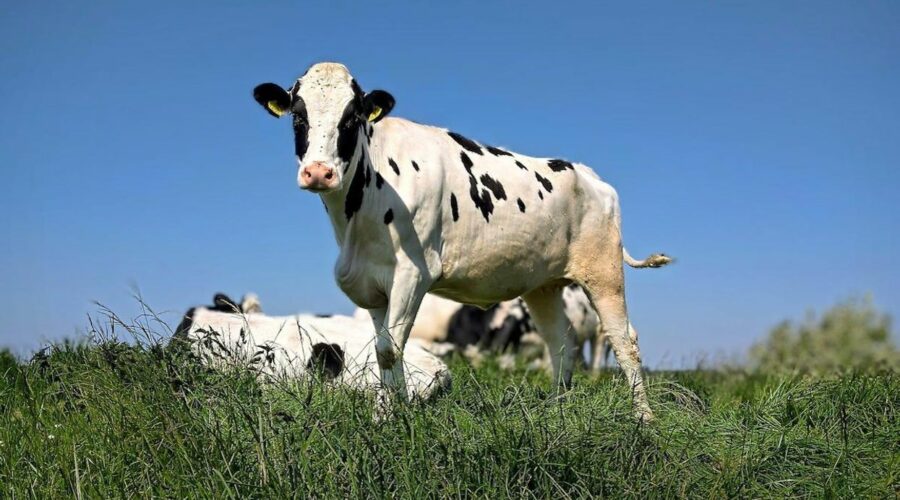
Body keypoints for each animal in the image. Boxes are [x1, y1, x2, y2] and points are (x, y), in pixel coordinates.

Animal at [251, 62, 672, 420]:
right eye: (298, 116)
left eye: (352, 117)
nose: (318, 172)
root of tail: (587, 173)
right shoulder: (373, 286)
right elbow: (385, 347)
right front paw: (396, 412)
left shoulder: (413, 274)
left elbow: (388, 350)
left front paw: (386, 418)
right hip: (543, 285)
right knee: (561, 343)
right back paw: (557, 413)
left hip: (604, 272)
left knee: (624, 341)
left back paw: (644, 419)